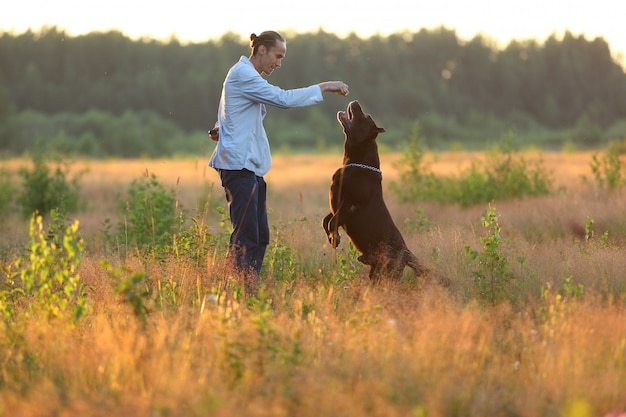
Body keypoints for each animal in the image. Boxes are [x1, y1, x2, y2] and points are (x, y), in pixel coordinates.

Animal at [322, 101, 424, 282]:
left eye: (366, 116)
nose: (355, 102)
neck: (355, 162)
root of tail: (406, 254)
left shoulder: (350, 205)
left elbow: (333, 221)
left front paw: (335, 238)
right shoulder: (336, 204)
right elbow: (326, 220)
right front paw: (331, 237)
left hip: (388, 273)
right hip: (376, 273)